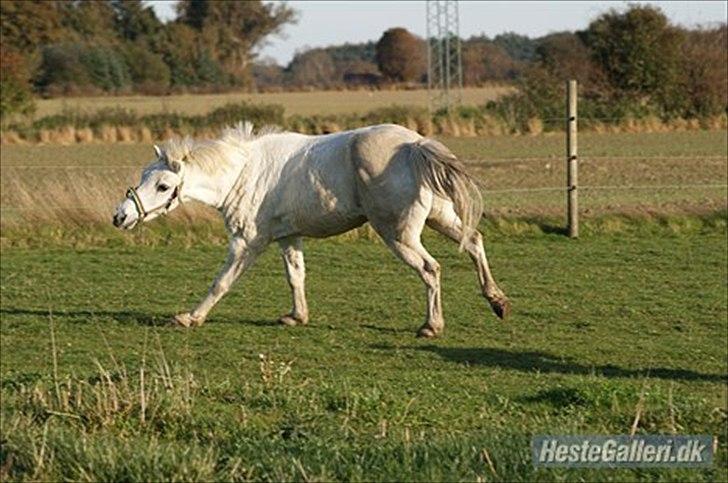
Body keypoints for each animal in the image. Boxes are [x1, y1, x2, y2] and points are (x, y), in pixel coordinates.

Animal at [115, 123, 512, 338]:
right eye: (143, 177)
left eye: (164, 186)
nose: (121, 216)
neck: (244, 174)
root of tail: (413, 145)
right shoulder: (288, 238)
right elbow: (296, 277)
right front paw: (296, 317)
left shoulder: (247, 243)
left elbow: (221, 282)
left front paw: (189, 317)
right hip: (440, 218)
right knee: (474, 241)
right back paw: (497, 301)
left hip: (399, 235)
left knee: (431, 269)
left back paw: (432, 326)